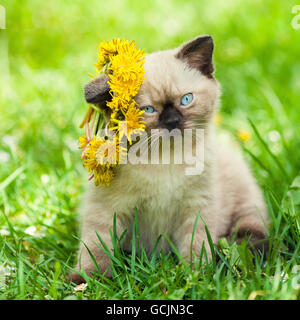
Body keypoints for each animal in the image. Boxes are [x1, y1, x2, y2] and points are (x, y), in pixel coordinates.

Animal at [69, 36, 268, 284]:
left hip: (245, 200)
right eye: (148, 110)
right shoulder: (107, 208)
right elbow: (96, 247)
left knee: (251, 230)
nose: (172, 122)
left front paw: (197, 277)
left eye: (186, 99)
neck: (165, 159)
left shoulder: (196, 206)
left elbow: (196, 245)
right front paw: (87, 281)